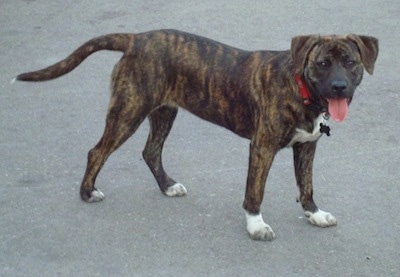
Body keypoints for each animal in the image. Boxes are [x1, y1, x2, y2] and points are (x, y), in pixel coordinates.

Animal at [15, 29, 378, 238]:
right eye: (322, 64)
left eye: (350, 62)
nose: (339, 87)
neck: (301, 87)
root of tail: (136, 37)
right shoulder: (261, 147)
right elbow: (255, 191)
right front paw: (256, 225)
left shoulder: (306, 147)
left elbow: (307, 186)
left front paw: (314, 214)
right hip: (128, 111)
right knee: (98, 151)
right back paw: (87, 192)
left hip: (164, 110)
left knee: (151, 151)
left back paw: (167, 185)